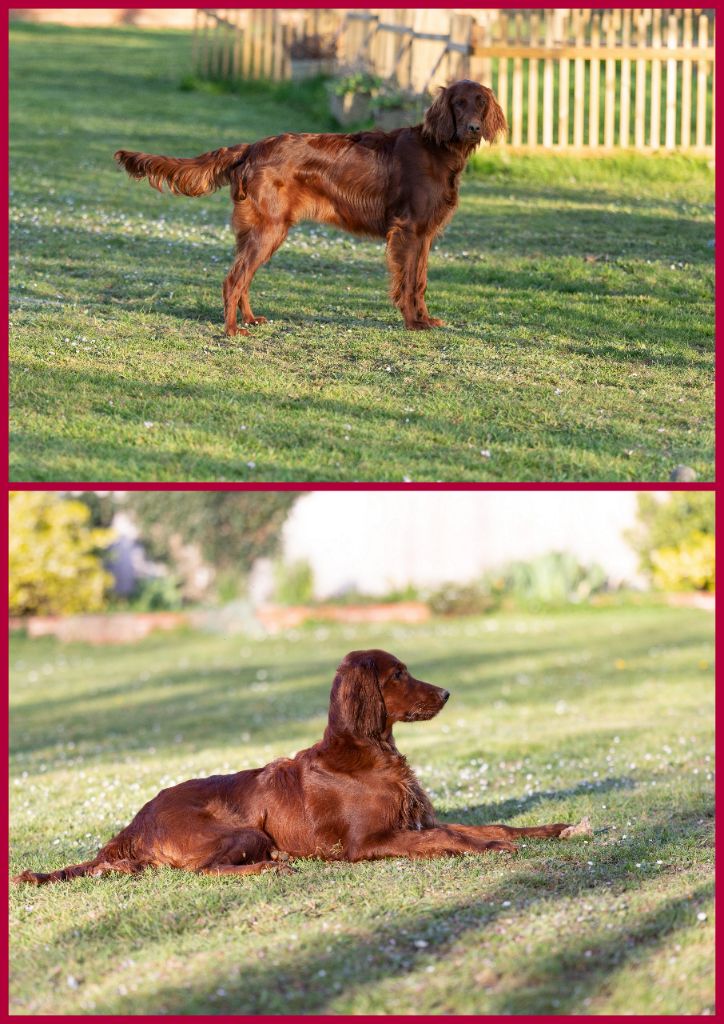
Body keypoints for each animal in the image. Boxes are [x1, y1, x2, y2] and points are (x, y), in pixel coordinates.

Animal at [116, 82, 507, 335]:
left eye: (480, 103)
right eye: (458, 103)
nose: (473, 127)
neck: (438, 149)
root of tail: (252, 147)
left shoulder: (424, 234)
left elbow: (420, 281)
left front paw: (425, 320)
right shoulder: (408, 230)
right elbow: (407, 281)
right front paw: (413, 323)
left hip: (265, 231)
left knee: (243, 277)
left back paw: (250, 319)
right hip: (269, 228)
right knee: (234, 278)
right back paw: (232, 330)